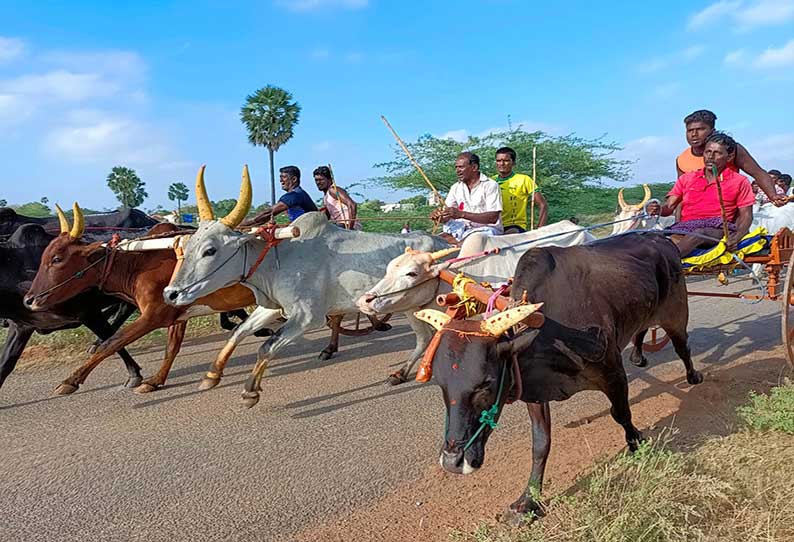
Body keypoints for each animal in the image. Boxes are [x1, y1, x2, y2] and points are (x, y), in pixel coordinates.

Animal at [414, 234, 700, 524]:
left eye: (485, 384)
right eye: (441, 384)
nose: (452, 462)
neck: (552, 334)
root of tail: (660, 237)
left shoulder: (613, 373)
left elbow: (621, 413)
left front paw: (636, 443)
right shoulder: (533, 391)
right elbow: (540, 443)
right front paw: (528, 501)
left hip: (676, 314)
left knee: (682, 347)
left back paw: (693, 376)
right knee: (643, 329)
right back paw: (639, 356)